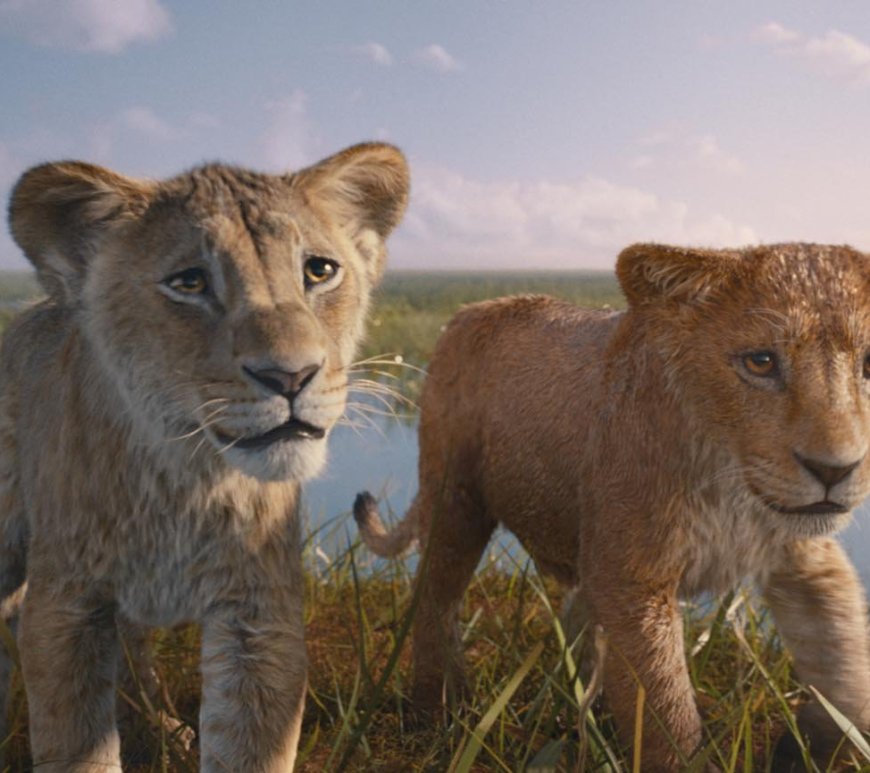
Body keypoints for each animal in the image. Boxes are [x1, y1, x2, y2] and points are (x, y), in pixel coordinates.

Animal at [0, 141, 408, 772]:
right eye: (189, 282)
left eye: (319, 270)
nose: (291, 377)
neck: (185, 479)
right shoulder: (65, 609)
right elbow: (77, 747)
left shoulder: (258, 619)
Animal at [355, 242, 870, 771]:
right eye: (761, 362)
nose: (834, 470)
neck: (734, 490)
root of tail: (466, 312)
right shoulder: (633, 581)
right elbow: (665, 711)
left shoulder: (806, 560)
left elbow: (845, 659)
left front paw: (824, 743)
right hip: (455, 499)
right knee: (435, 597)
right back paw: (436, 712)